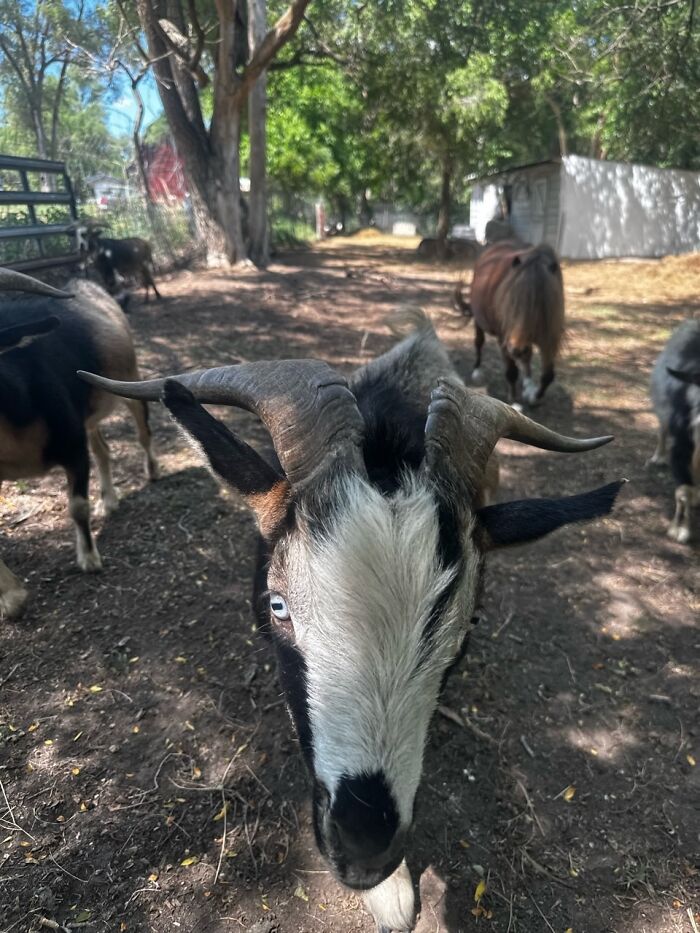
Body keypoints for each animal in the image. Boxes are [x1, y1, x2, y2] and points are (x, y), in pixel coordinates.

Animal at [0, 268, 159, 619]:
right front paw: (12, 598)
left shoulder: (73, 446)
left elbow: (77, 506)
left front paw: (89, 559)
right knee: (103, 450)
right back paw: (109, 500)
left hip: (127, 379)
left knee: (142, 430)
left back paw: (152, 471)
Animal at [454, 240, 565, 407]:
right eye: (509, 302)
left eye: (541, 304)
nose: (516, 349)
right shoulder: (504, 339)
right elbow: (512, 372)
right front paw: (514, 402)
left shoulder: (547, 337)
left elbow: (548, 375)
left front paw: (533, 396)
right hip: (479, 322)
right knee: (479, 342)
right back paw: (477, 371)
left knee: (527, 356)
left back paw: (528, 383)